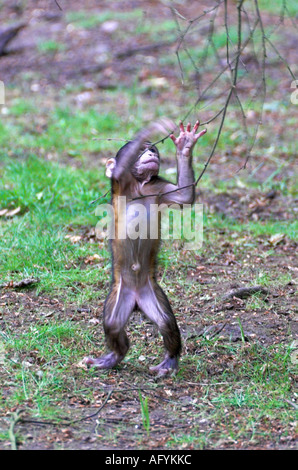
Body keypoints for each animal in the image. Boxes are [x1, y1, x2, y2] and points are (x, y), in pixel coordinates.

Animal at [82, 119, 206, 376]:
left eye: (154, 151)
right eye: (141, 151)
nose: (151, 153)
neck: (139, 186)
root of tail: (137, 299)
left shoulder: (158, 188)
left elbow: (185, 195)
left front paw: (185, 145)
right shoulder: (120, 182)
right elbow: (120, 169)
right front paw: (152, 128)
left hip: (151, 292)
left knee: (166, 322)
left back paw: (170, 359)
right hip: (121, 293)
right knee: (113, 324)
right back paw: (113, 357)